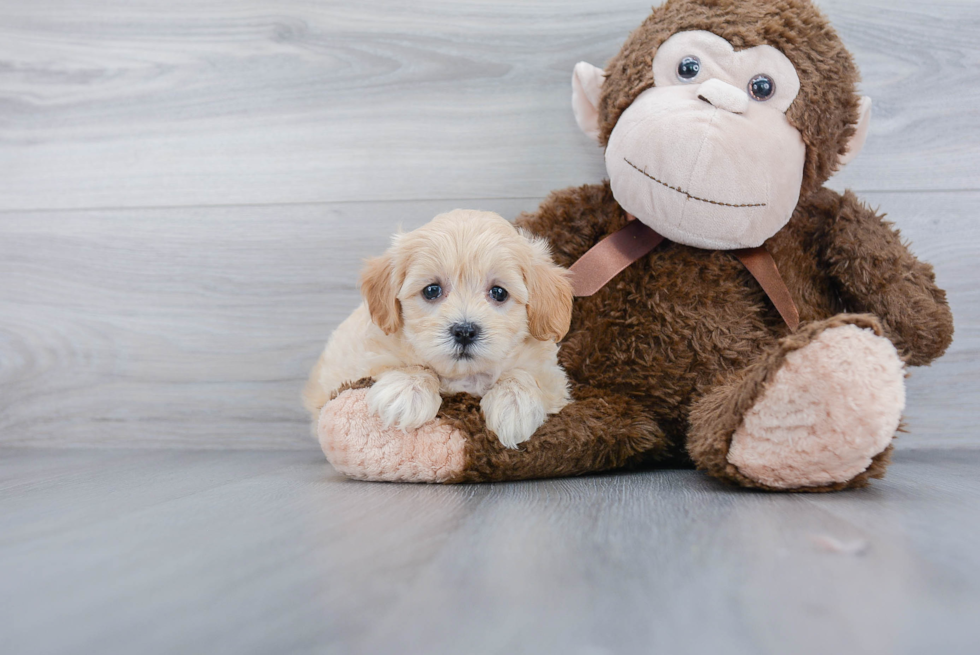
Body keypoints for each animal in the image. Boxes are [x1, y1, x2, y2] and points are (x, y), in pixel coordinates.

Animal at [304, 210, 576, 452]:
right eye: (432, 290)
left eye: (499, 292)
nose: (464, 331)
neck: (464, 376)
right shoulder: (367, 360)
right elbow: (413, 367)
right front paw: (406, 392)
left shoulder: (551, 376)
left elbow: (522, 374)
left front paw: (514, 405)